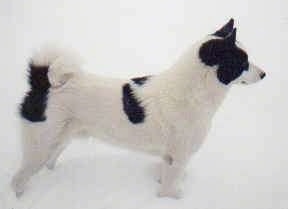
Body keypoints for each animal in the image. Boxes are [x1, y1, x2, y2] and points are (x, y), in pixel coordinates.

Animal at [11, 18, 266, 198]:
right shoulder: (178, 156)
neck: (194, 90)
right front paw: (172, 197)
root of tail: (42, 82)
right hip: (40, 147)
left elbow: (166, 177)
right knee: (18, 179)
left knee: (47, 164)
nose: (264, 74)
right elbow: (169, 189)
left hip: (59, 141)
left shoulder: (169, 158)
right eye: (242, 62)